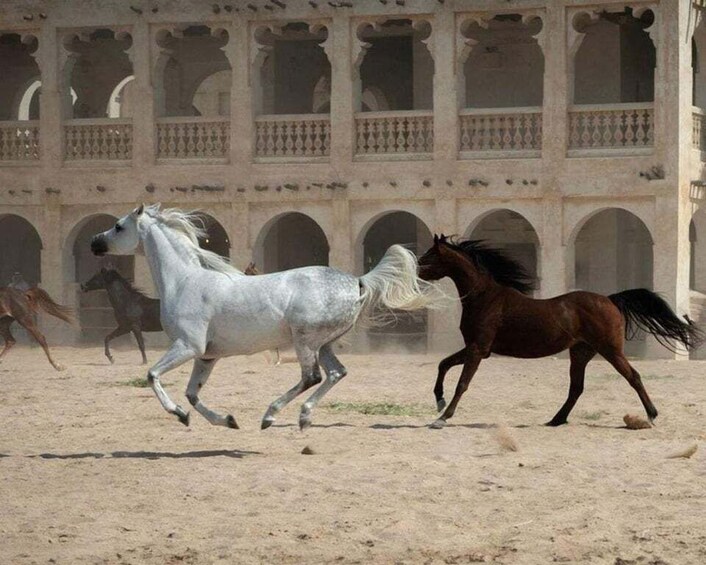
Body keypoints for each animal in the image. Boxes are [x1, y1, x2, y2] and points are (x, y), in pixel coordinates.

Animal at [89, 204, 439, 430]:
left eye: (119, 226)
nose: (94, 242)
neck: (186, 281)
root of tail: (357, 281)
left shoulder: (187, 346)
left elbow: (152, 375)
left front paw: (179, 414)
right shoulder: (206, 355)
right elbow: (192, 394)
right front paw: (226, 421)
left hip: (305, 341)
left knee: (311, 377)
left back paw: (270, 416)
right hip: (324, 344)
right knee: (335, 374)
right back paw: (303, 417)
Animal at [417, 235, 703, 429]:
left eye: (429, 257)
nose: (417, 276)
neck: (484, 297)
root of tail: (611, 299)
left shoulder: (479, 349)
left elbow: (462, 383)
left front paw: (442, 417)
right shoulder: (475, 348)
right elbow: (443, 365)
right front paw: (439, 401)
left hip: (610, 350)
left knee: (633, 376)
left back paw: (652, 414)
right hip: (581, 352)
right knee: (576, 387)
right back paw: (556, 419)